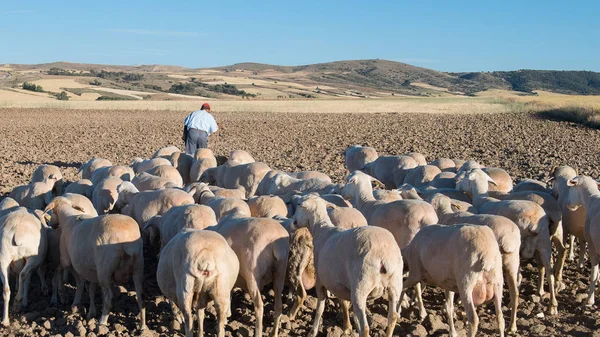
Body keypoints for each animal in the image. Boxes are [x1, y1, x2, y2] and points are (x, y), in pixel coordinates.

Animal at [292, 194, 400, 336]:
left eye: (299, 204)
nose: (293, 221)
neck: (321, 230)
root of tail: (384, 255)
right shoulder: (340, 283)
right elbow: (344, 304)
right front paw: (347, 326)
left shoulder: (321, 280)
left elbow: (320, 308)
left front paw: (313, 331)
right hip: (395, 286)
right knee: (392, 317)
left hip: (361, 287)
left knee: (365, 327)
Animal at [458, 168, 560, 316]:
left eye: (466, 177)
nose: (457, 184)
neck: (481, 198)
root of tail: (534, 224)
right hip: (544, 242)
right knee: (549, 272)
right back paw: (552, 306)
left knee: (519, 275)